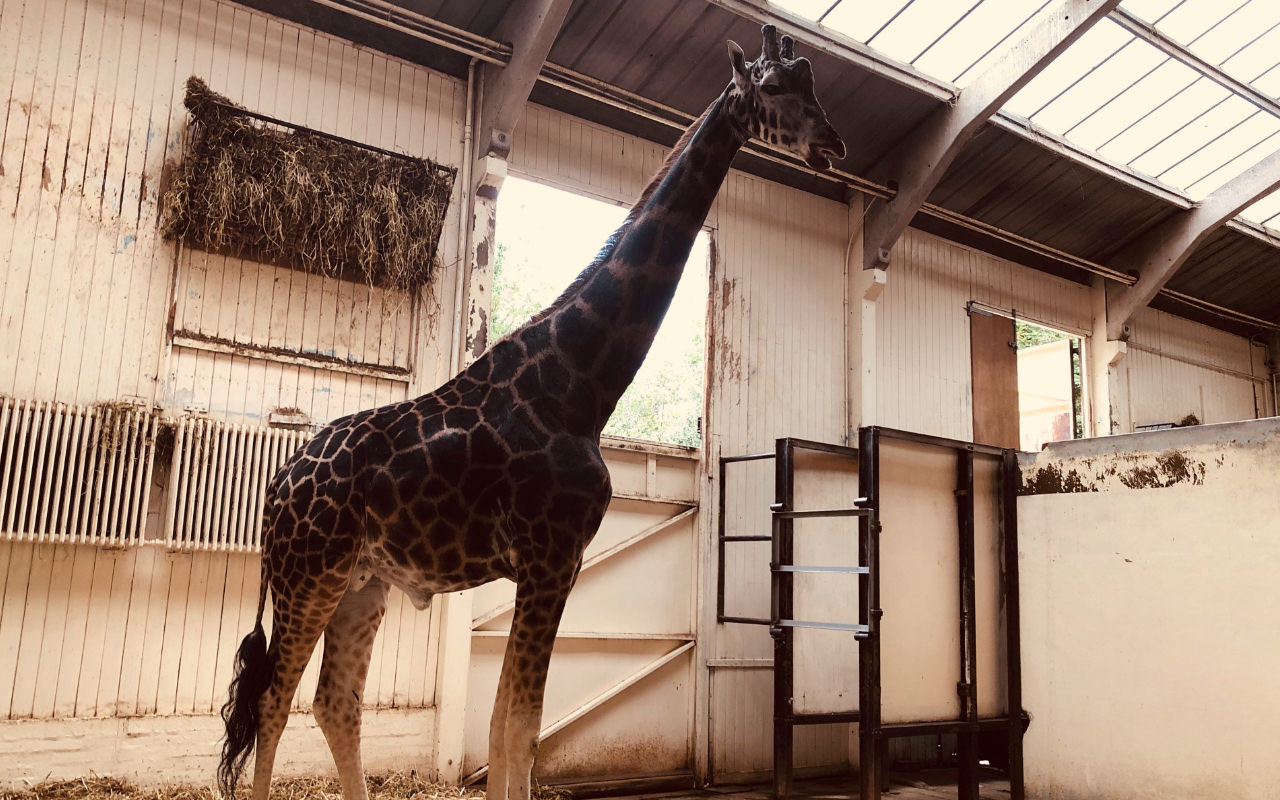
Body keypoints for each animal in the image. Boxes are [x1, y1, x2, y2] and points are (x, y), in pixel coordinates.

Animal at [217, 24, 845, 800]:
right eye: (779, 87)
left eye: (813, 81)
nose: (833, 145)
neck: (579, 384)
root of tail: (278, 485)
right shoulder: (548, 560)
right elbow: (513, 728)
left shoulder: (556, 566)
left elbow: (517, 728)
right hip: (310, 574)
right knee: (274, 702)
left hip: (363, 583)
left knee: (336, 701)